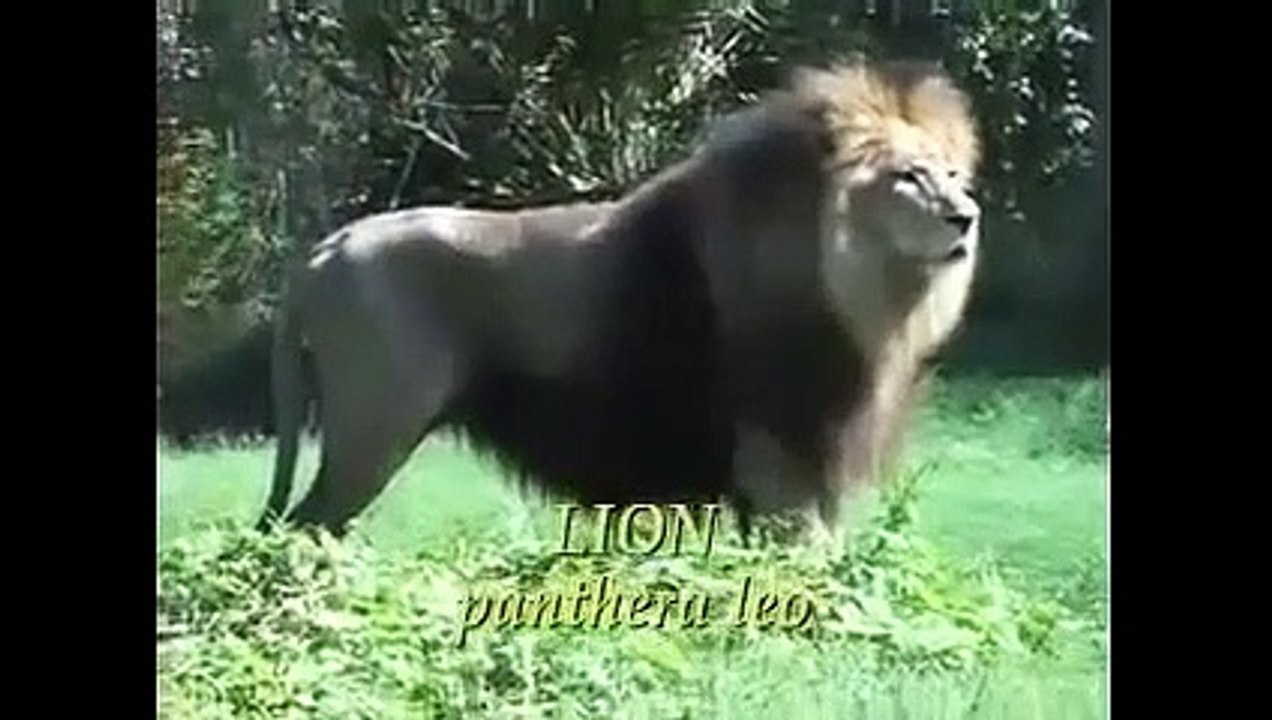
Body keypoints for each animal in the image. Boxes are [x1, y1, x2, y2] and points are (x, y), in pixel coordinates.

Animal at [258, 57, 981, 540]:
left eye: (952, 175)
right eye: (907, 177)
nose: (967, 217)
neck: (868, 295)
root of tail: (323, 252)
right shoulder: (780, 451)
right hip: (375, 427)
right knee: (303, 526)